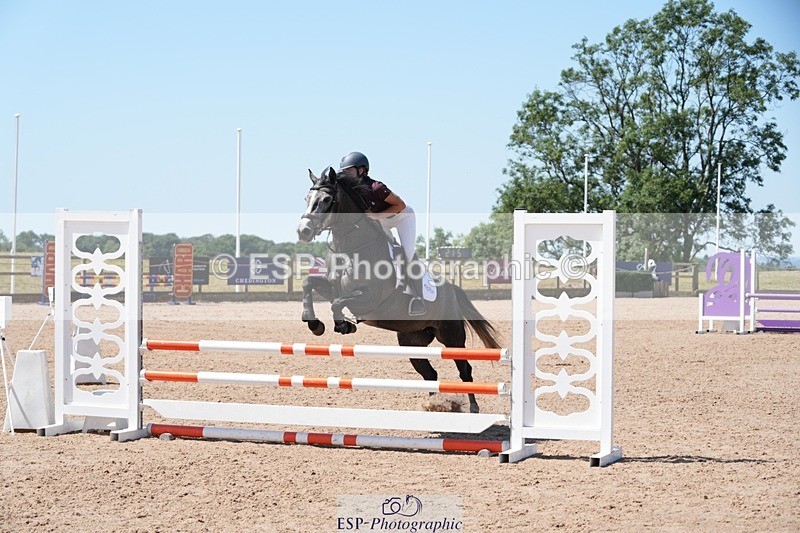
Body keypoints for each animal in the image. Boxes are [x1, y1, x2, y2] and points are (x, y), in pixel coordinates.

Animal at [296, 167, 503, 413]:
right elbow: (309, 284)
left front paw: (343, 325)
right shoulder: (332, 287)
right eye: (306, 198)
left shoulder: (370, 298)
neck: (350, 249)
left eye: (327, 199)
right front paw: (314, 323)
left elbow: (338, 303)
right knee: (430, 373)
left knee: (464, 370)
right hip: (412, 340)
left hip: (451, 337)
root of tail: (452, 289)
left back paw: (473, 408)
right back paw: (433, 404)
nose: (303, 231)